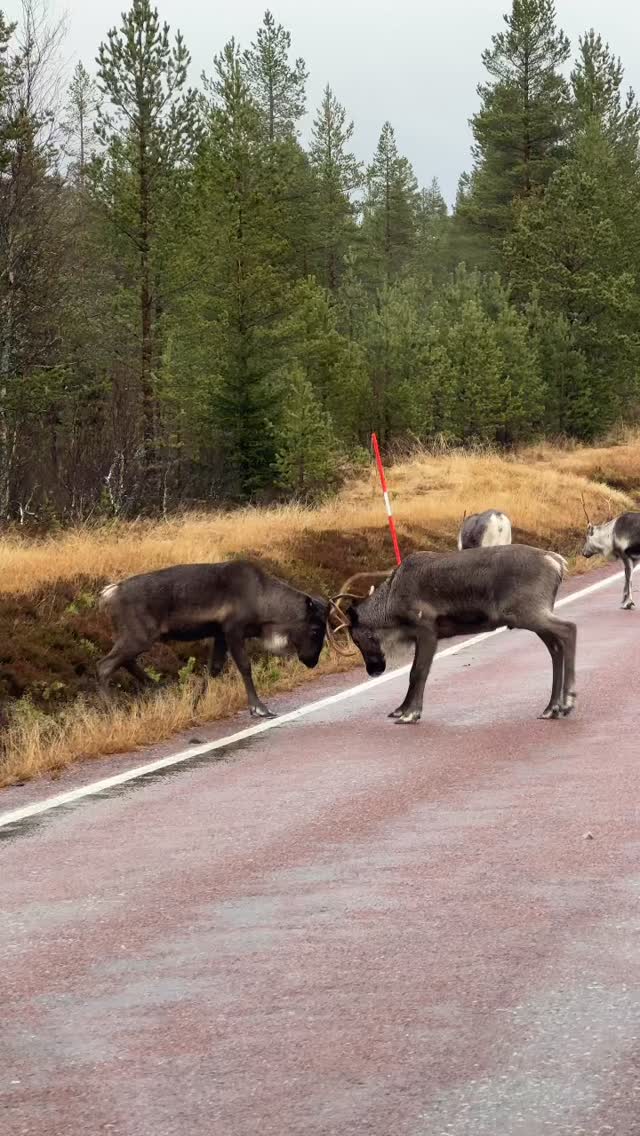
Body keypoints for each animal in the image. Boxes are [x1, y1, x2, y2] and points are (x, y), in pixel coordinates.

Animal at [97, 561, 328, 718]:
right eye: (316, 629)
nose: (312, 661)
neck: (264, 603)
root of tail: (109, 594)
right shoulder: (233, 630)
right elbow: (244, 666)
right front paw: (259, 707)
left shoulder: (220, 634)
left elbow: (213, 669)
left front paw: (195, 704)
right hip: (140, 636)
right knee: (105, 665)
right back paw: (112, 711)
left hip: (133, 637)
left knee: (124, 662)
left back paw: (158, 688)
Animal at [329, 544, 576, 724]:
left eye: (356, 638)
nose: (374, 671)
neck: (390, 601)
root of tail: (556, 562)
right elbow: (415, 672)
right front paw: (401, 709)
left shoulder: (426, 629)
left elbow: (417, 672)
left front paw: (410, 714)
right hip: (533, 615)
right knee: (555, 647)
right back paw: (552, 708)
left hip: (528, 612)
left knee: (569, 629)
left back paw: (568, 701)